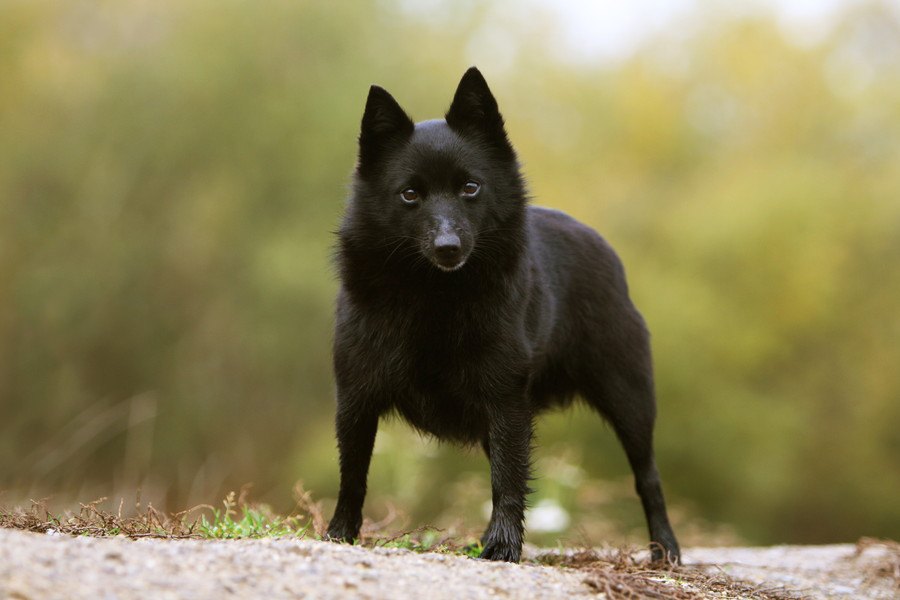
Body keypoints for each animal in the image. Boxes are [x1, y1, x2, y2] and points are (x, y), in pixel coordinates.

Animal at [326, 68, 680, 564]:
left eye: (470, 187)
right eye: (410, 194)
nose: (448, 247)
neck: (434, 296)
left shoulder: (505, 399)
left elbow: (508, 478)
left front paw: (503, 545)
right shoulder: (355, 397)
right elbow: (353, 474)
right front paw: (339, 533)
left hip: (629, 399)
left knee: (648, 477)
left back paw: (665, 549)